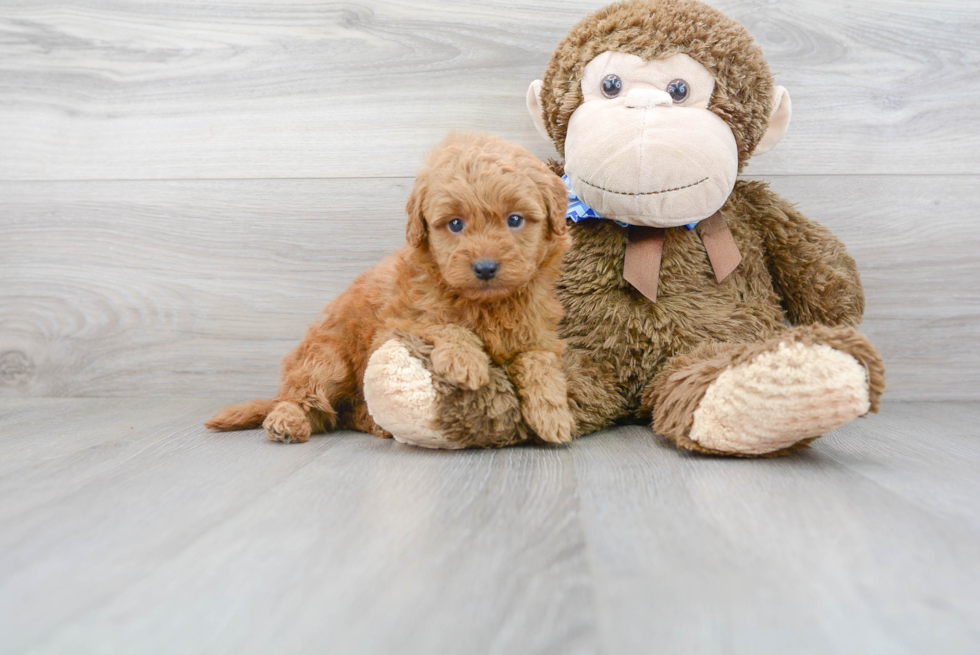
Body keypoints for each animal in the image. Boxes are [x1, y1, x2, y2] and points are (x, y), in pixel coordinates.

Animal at [205, 132, 576, 446]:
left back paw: (373, 424)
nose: (485, 268)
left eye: (515, 220)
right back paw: (287, 421)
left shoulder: (539, 333)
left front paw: (553, 416)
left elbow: (539, 361)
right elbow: (442, 323)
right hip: (327, 358)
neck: (487, 304)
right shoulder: (398, 323)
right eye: (455, 224)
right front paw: (465, 361)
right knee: (306, 400)